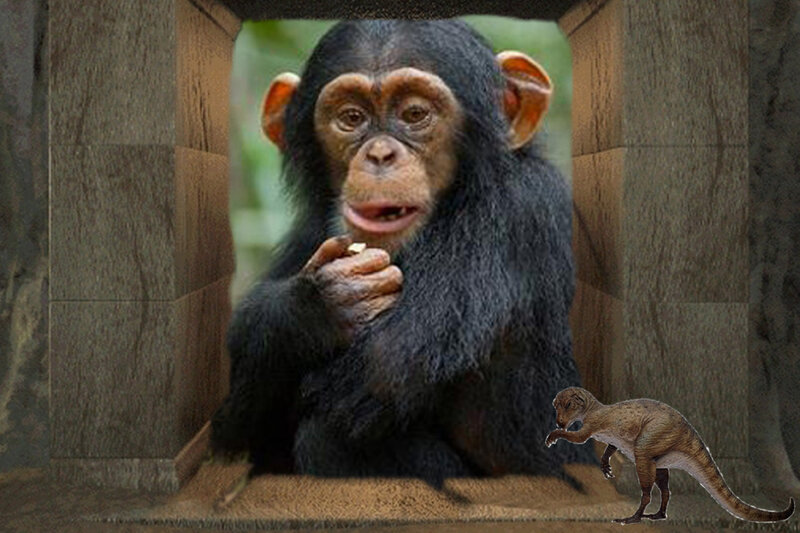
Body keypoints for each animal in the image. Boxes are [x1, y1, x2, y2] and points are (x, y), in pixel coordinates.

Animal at [545, 387, 795, 524]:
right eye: (555, 405)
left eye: (569, 404)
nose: (559, 422)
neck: (593, 408)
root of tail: (687, 428)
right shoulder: (605, 434)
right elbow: (610, 448)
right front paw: (606, 465)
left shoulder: (593, 424)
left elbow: (579, 438)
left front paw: (553, 436)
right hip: (663, 455)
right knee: (665, 488)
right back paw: (659, 515)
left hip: (653, 437)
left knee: (646, 483)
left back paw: (633, 517)